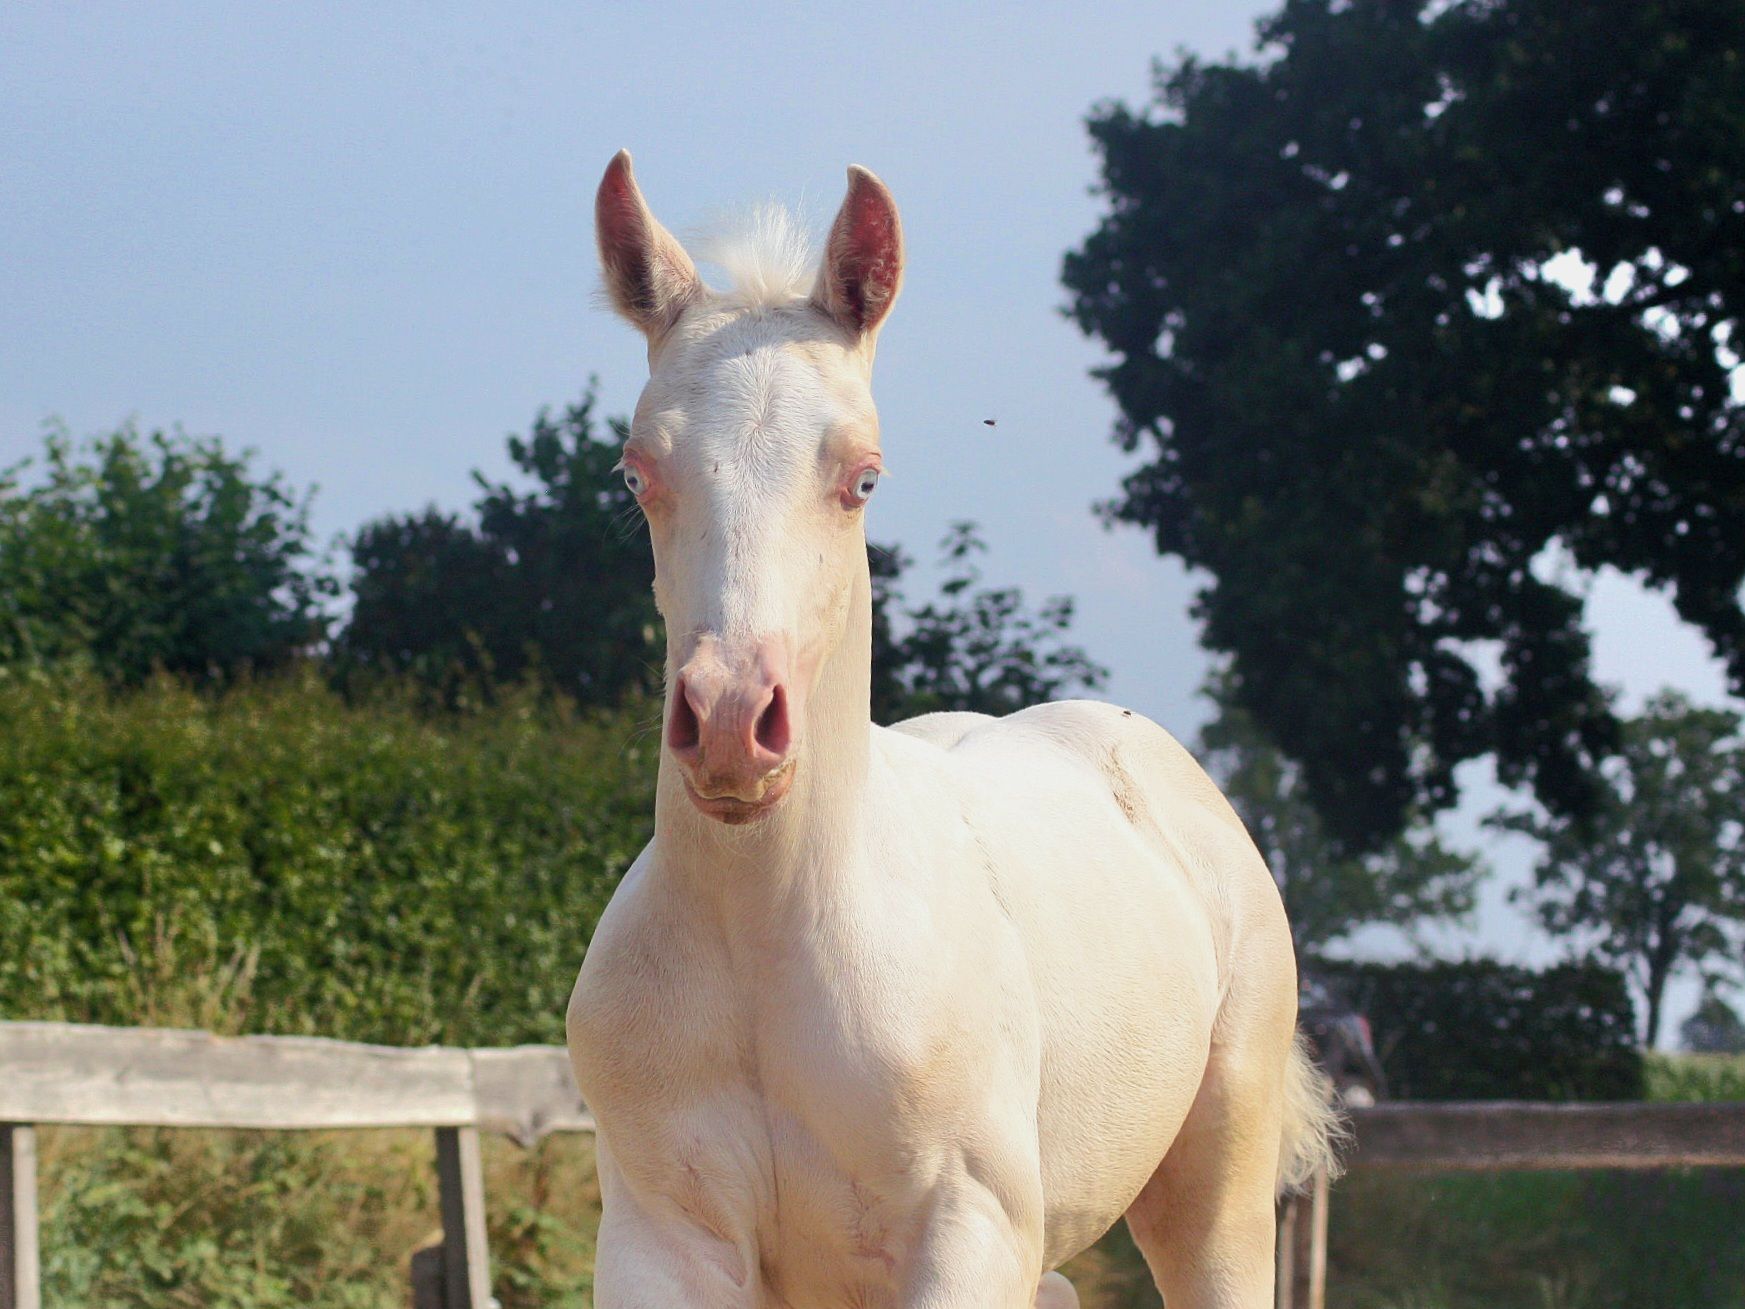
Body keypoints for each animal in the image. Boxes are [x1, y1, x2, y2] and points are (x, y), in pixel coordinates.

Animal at [566, 151, 1341, 1309]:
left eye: (862, 476)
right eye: (634, 473)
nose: (733, 724)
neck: (769, 945)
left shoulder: (968, 1232)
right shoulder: (662, 1237)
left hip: (1214, 1200)